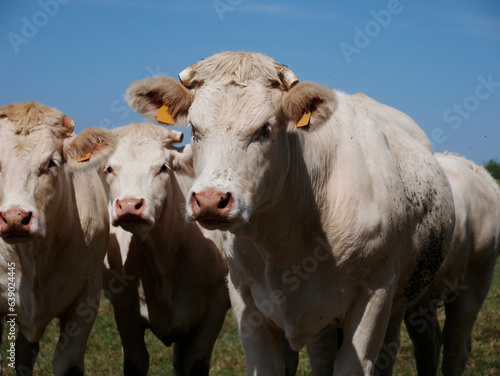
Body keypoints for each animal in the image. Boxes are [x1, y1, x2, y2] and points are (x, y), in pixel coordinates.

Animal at [103, 122, 229, 374]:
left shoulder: (216, 306)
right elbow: (135, 360)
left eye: (163, 167)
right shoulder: (124, 309)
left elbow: (196, 362)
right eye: (109, 168)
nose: (130, 205)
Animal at [126, 52, 458, 376]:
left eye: (264, 129)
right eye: (195, 129)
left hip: (419, 297)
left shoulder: (375, 293)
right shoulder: (244, 296)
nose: (210, 200)